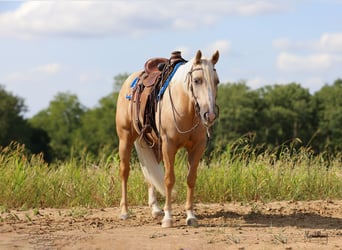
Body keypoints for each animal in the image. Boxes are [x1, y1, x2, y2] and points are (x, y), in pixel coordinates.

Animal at [116, 49, 220, 228]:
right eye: (197, 80)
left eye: (217, 82)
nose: (210, 115)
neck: (185, 106)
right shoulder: (169, 146)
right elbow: (169, 179)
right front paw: (168, 218)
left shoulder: (197, 147)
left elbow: (191, 179)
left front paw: (191, 216)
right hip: (125, 138)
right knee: (125, 172)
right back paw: (125, 212)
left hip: (154, 145)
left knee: (151, 173)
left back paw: (156, 209)